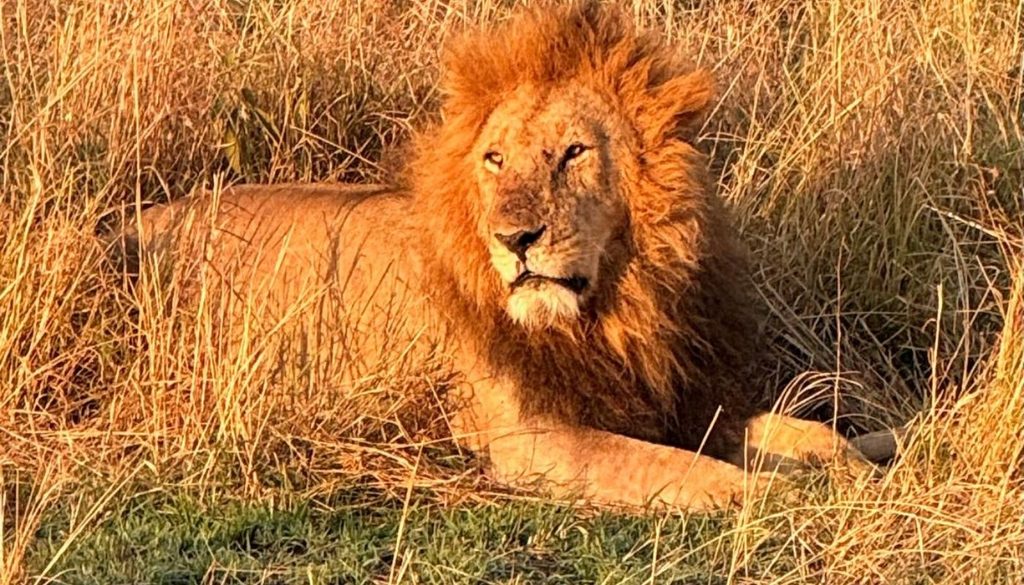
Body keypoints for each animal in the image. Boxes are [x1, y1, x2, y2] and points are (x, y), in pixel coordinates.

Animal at [115, 2, 885, 510]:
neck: (608, 312)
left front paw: (859, 470)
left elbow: (810, 435)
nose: (515, 239)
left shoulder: (682, 401)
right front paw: (790, 501)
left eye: (573, 152)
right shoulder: (531, 440)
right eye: (494, 159)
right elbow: (696, 475)